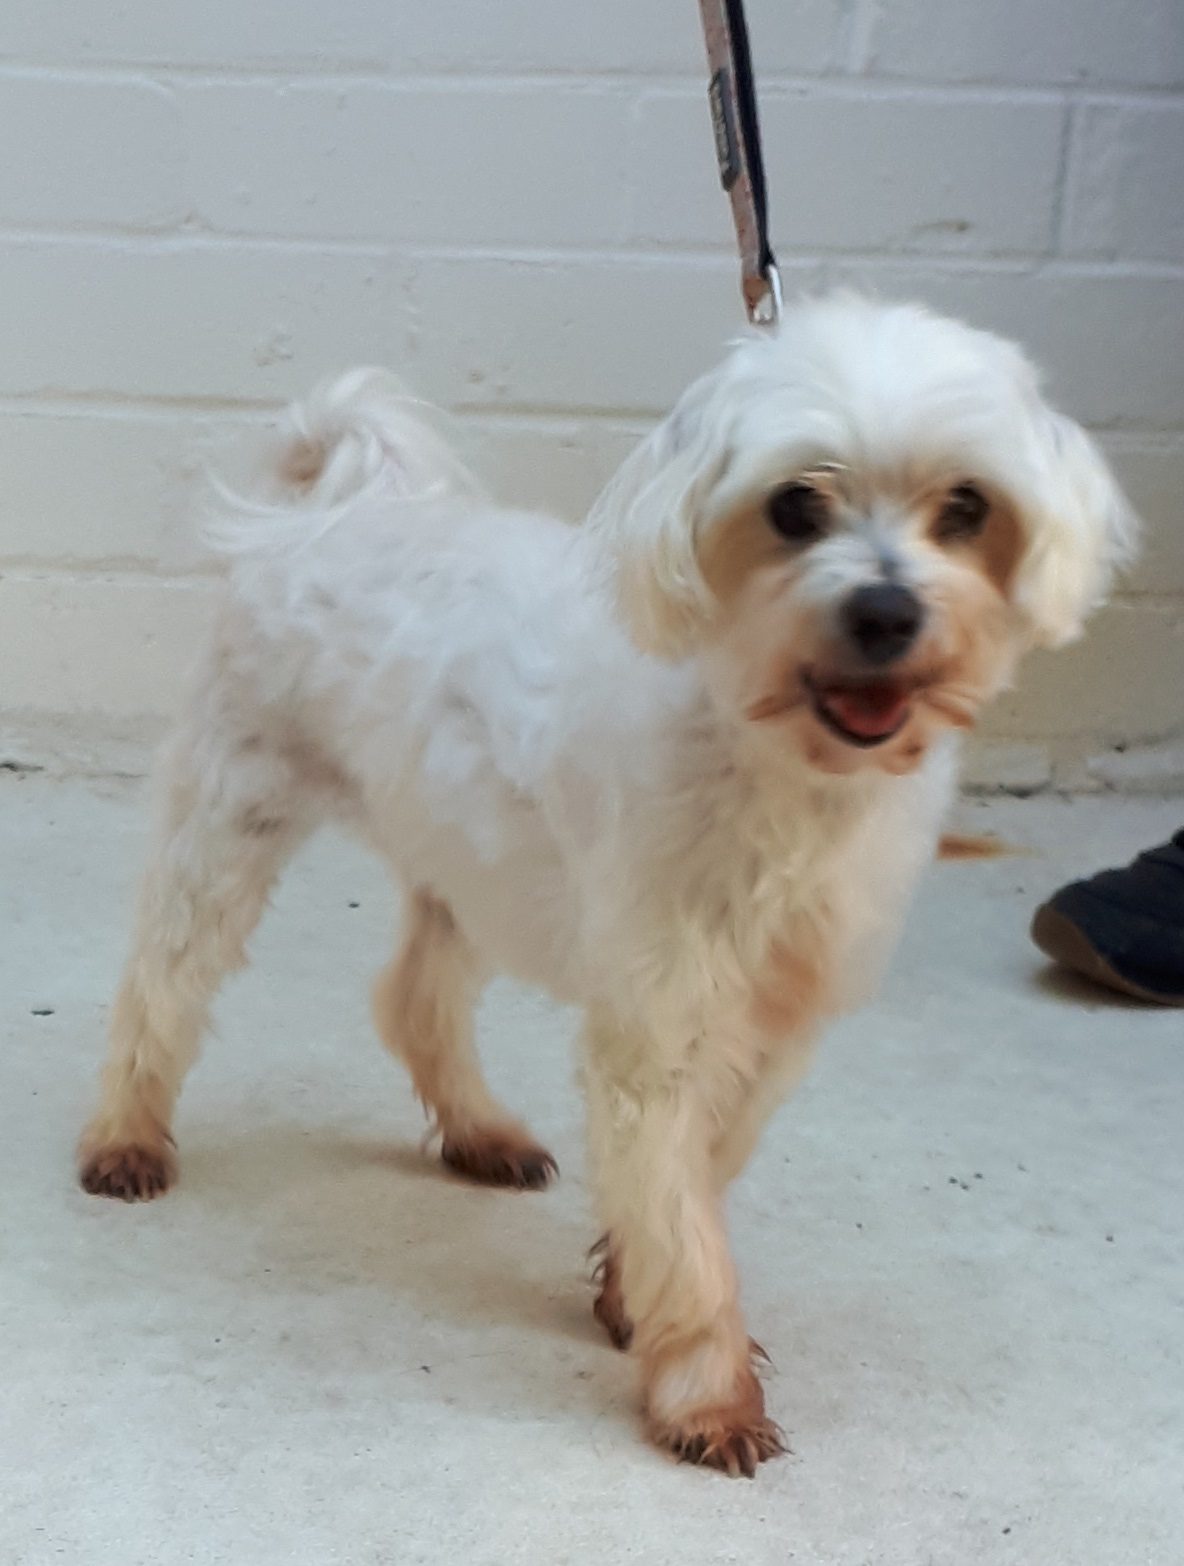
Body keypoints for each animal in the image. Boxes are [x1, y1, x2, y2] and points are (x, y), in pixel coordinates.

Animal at [78, 294, 1136, 1475]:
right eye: (794, 505)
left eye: (966, 506)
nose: (883, 612)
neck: (773, 761)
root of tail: (336, 512)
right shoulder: (658, 1028)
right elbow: (683, 1218)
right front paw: (706, 1394)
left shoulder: (771, 1028)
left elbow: (693, 1183)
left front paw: (632, 1293)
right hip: (230, 823)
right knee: (162, 983)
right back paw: (125, 1134)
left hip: (470, 861)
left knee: (413, 999)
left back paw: (479, 1129)